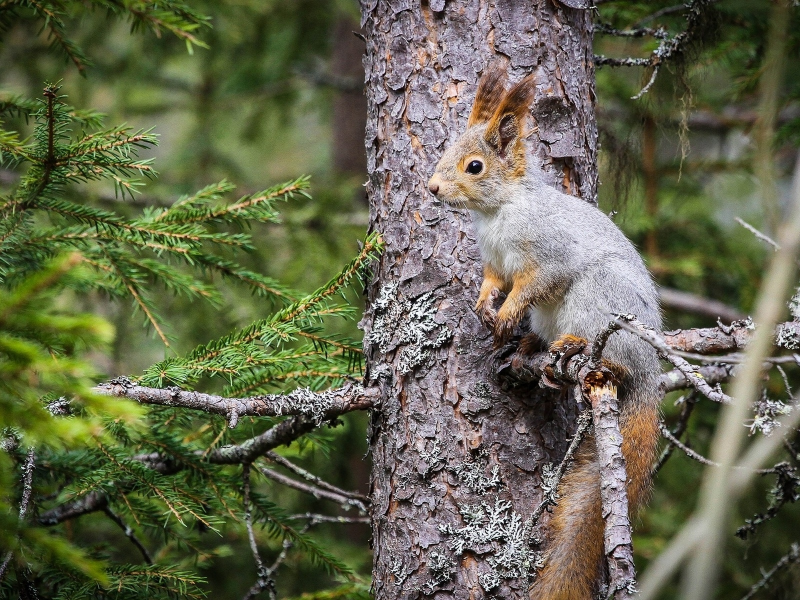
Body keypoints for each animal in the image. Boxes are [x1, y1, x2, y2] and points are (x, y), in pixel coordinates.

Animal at [428, 65, 664, 600]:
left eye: (474, 166)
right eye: (445, 150)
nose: (432, 188)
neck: (499, 211)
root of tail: (651, 373)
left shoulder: (549, 257)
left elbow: (532, 285)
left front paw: (506, 311)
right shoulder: (495, 262)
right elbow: (494, 282)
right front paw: (484, 306)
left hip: (599, 302)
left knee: (612, 359)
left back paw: (579, 350)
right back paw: (529, 350)